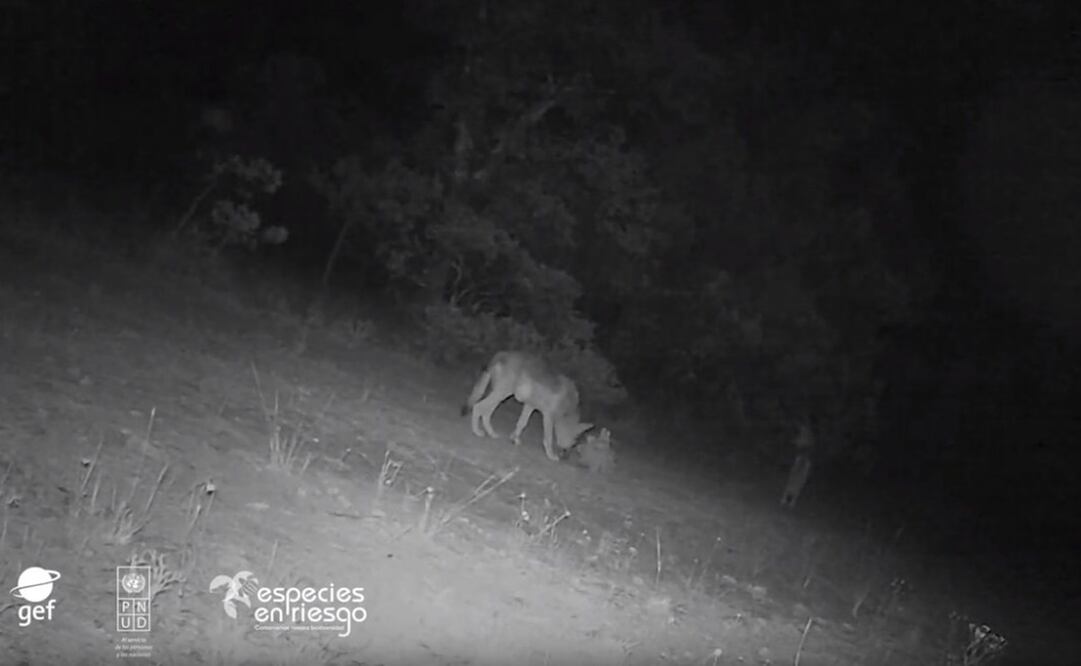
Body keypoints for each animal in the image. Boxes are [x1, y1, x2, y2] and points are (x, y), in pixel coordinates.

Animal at [461, 351, 593, 461]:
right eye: (574, 443)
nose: (565, 458)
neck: (566, 408)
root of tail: (501, 354)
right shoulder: (548, 416)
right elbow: (548, 438)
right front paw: (551, 455)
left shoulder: (530, 406)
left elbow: (521, 424)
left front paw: (514, 438)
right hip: (501, 394)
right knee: (478, 407)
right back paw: (477, 432)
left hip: (499, 396)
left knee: (486, 413)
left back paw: (492, 433)